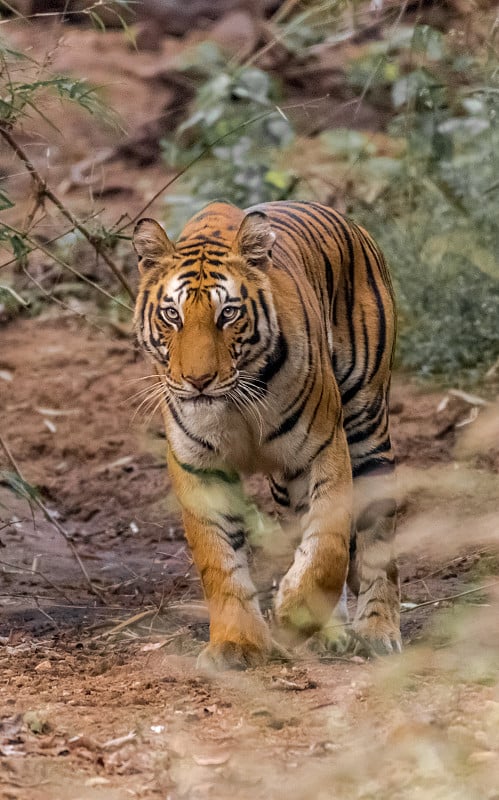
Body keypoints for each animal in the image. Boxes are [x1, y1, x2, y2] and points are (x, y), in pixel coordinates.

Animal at [133, 200, 402, 668]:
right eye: (172, 315)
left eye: (228, 313)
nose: (198, 381)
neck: (234, 405)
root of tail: (353, 225)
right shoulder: (200, 467)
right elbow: (219, 560)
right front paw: (236, 643)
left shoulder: (323, 448)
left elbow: (328, 544)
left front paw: (295, 611)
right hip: (286, 481)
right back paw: (330, 633)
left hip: (367, 426)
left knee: (375, 537)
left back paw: (377, 630)